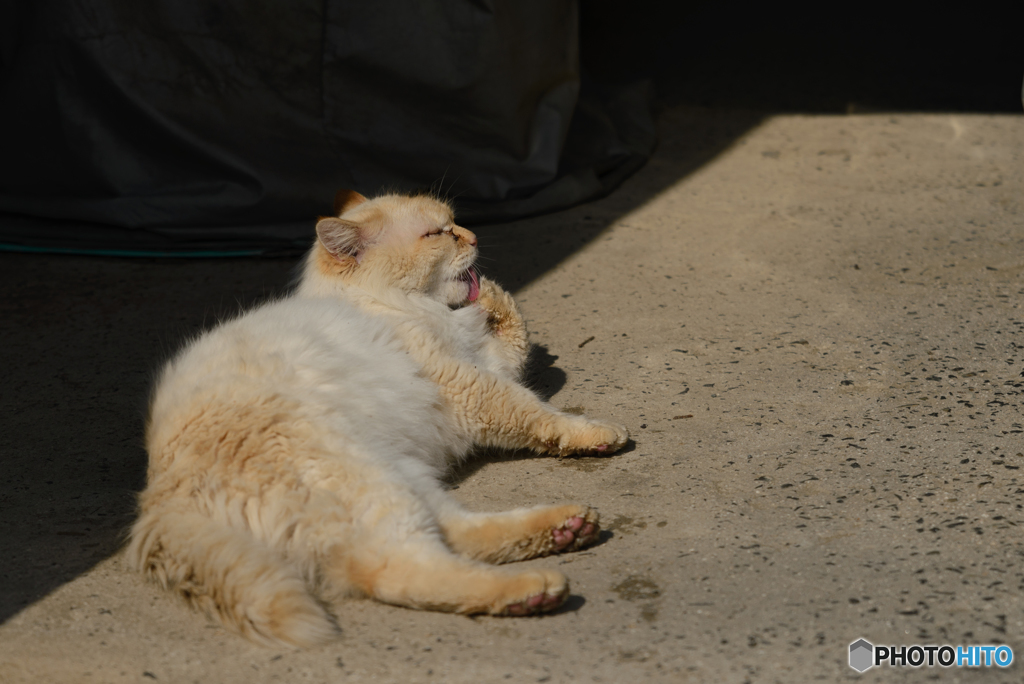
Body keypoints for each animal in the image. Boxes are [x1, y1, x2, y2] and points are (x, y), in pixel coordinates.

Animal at [124, 189, 626, 651]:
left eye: (455, 224)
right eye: (437, 233)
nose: (474, 238)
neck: (379, 302)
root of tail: (158, 499)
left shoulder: (480, 363)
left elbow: (516, 335)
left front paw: (491, 294)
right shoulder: (470, 385)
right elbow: (536, 410)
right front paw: (598, 433)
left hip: (400, 478)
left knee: (458, 535)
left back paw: (567, 528)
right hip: (370, 485)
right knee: (407, 571)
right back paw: (534, 589)